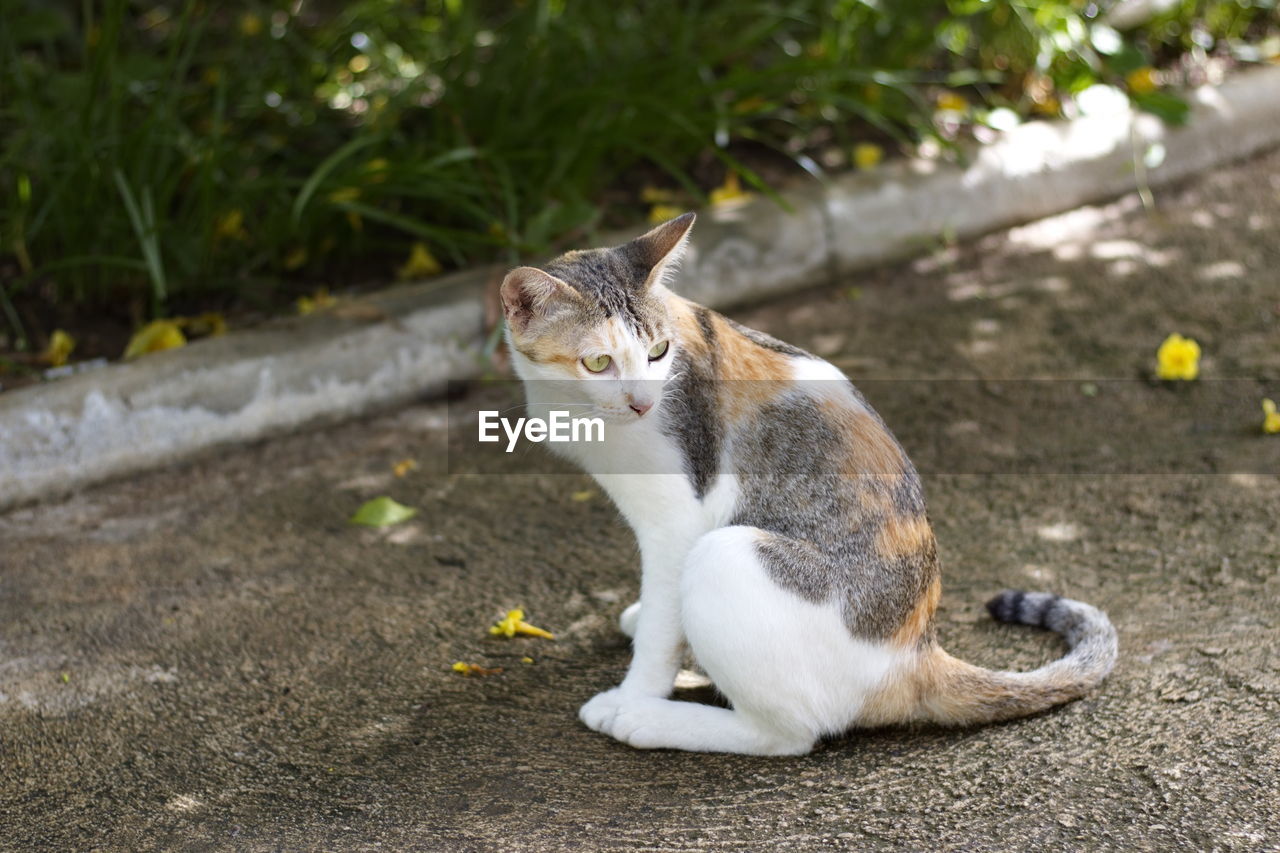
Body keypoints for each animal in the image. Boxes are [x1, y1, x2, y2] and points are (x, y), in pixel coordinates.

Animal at [494, 211, 1116, 753]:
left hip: (727, 554)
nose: (643, 402)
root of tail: (920, 652)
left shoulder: (678, 521)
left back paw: (650, 720)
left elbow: (659, 633)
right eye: (598, 363)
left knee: (787, 735)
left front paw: (635, 692)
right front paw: (645, 615)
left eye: (658, 351)